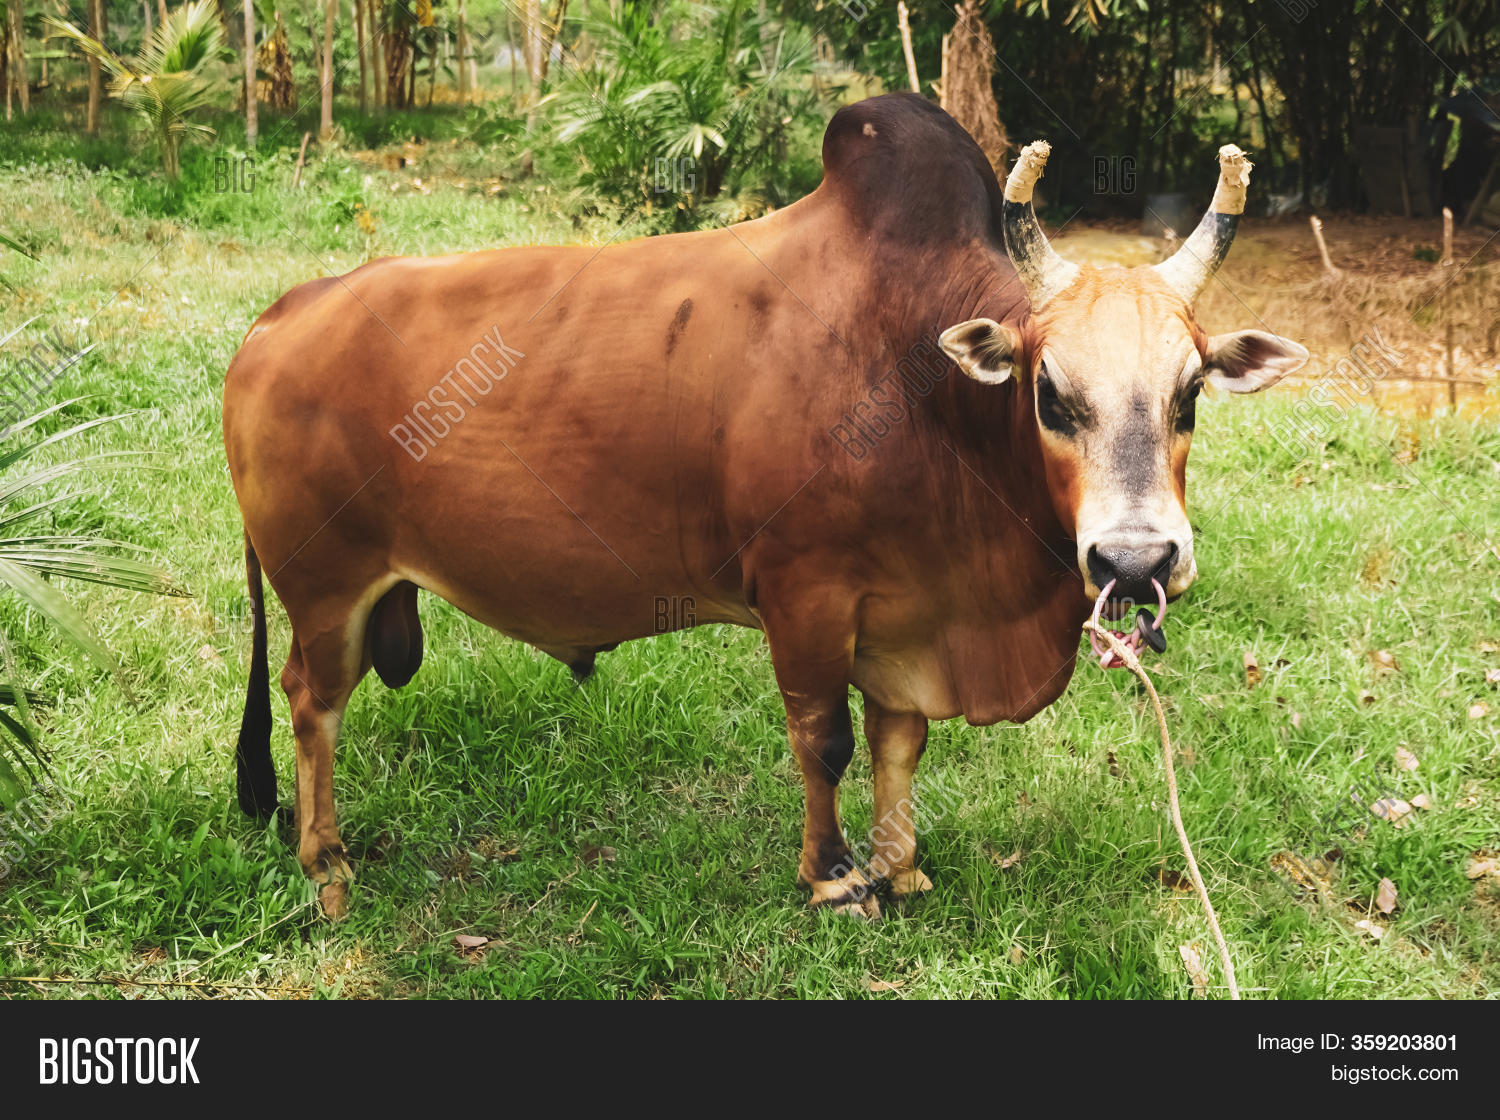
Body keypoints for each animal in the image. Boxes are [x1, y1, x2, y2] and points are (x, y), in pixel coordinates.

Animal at [223, 93, 1307, 919]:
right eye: (1049, 392)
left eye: (1190, 393)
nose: (1135, 563)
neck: (923, 387)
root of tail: (277, 319)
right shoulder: (807, 594)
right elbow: (824, 739)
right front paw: (836, 879)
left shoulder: (905, 614)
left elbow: (899, 741)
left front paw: (902, 867)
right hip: (326, 587)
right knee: (310, 700)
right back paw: (326, 862)